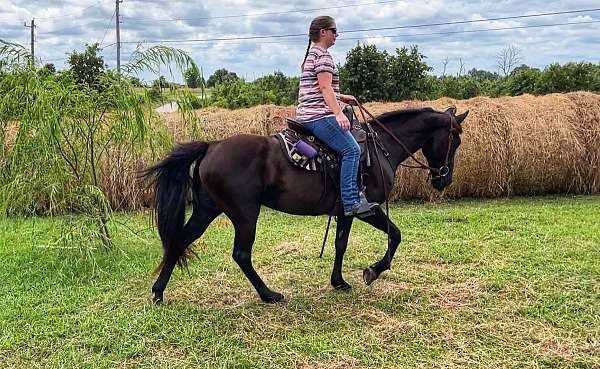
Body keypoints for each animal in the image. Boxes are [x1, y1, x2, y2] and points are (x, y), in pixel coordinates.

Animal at [142, 106, 468, 302]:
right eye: (455, 141)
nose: (444, 179)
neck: (380, 149)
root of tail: (212, 146)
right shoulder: (366, 208)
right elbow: (396, 235)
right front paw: (373, 271)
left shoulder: (345, 212)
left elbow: (340, 244)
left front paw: (339, 281)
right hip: (244, 214)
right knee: (241, 254)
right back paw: (269, 294)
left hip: (208, 209)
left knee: (181, 240)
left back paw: (158, 293)